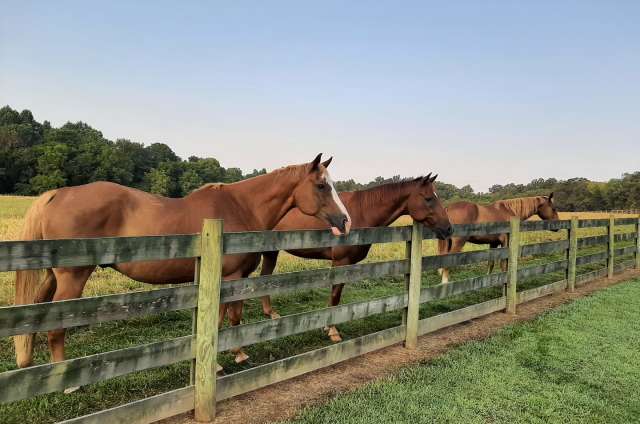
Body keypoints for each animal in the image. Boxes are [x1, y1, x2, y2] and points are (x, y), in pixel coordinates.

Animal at [12, 152, 350, 368]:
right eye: (322, 186)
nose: (345, 221)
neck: (239, 207)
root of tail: (58, 193)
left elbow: (228, 318)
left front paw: (231, 356)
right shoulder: (230, 278)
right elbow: (227, 318)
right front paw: (228, 359)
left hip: (52, 275)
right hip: (72, 276)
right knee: (56, 325)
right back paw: (66, 380)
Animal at [258, 174, 452, 342]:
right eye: (429, 198)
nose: (449, 229)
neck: (361, 212)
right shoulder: (340, 263)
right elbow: (335, 295)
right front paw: (332, 330)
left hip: (270, 252)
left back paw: (271, 313)